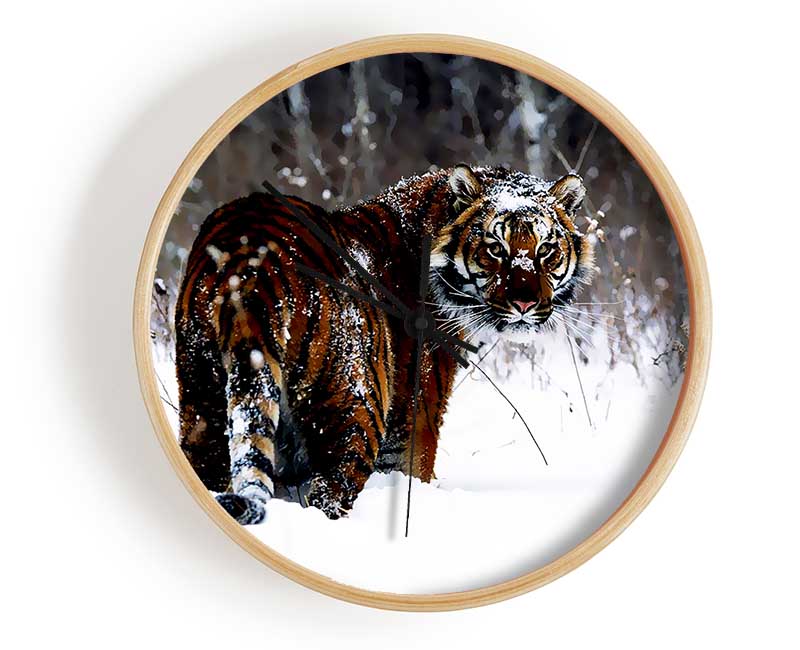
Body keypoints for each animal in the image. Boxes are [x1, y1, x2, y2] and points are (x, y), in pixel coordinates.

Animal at [175, 164, 593, 524]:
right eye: (495, 249)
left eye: (545, 250)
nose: (525, 304)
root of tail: (251, 260)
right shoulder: (417, 409)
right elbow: (413, 467)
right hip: (356, 406)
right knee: (330, 492)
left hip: (201, 398)